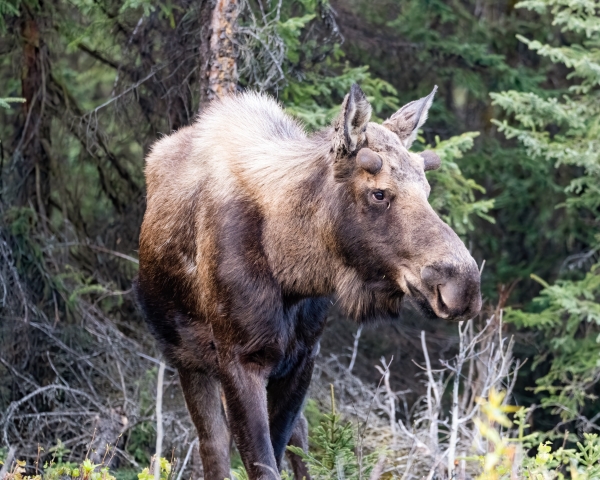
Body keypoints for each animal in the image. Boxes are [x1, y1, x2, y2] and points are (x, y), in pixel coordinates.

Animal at [136, 86, 482, 480]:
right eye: (379, 193)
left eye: (426, 189)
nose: (463, 284)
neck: (292, 272)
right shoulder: (237, 358)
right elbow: (256, 461)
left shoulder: (304, 355)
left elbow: (284, 446)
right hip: (186, 355)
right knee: (213, 445)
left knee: (298, 437)